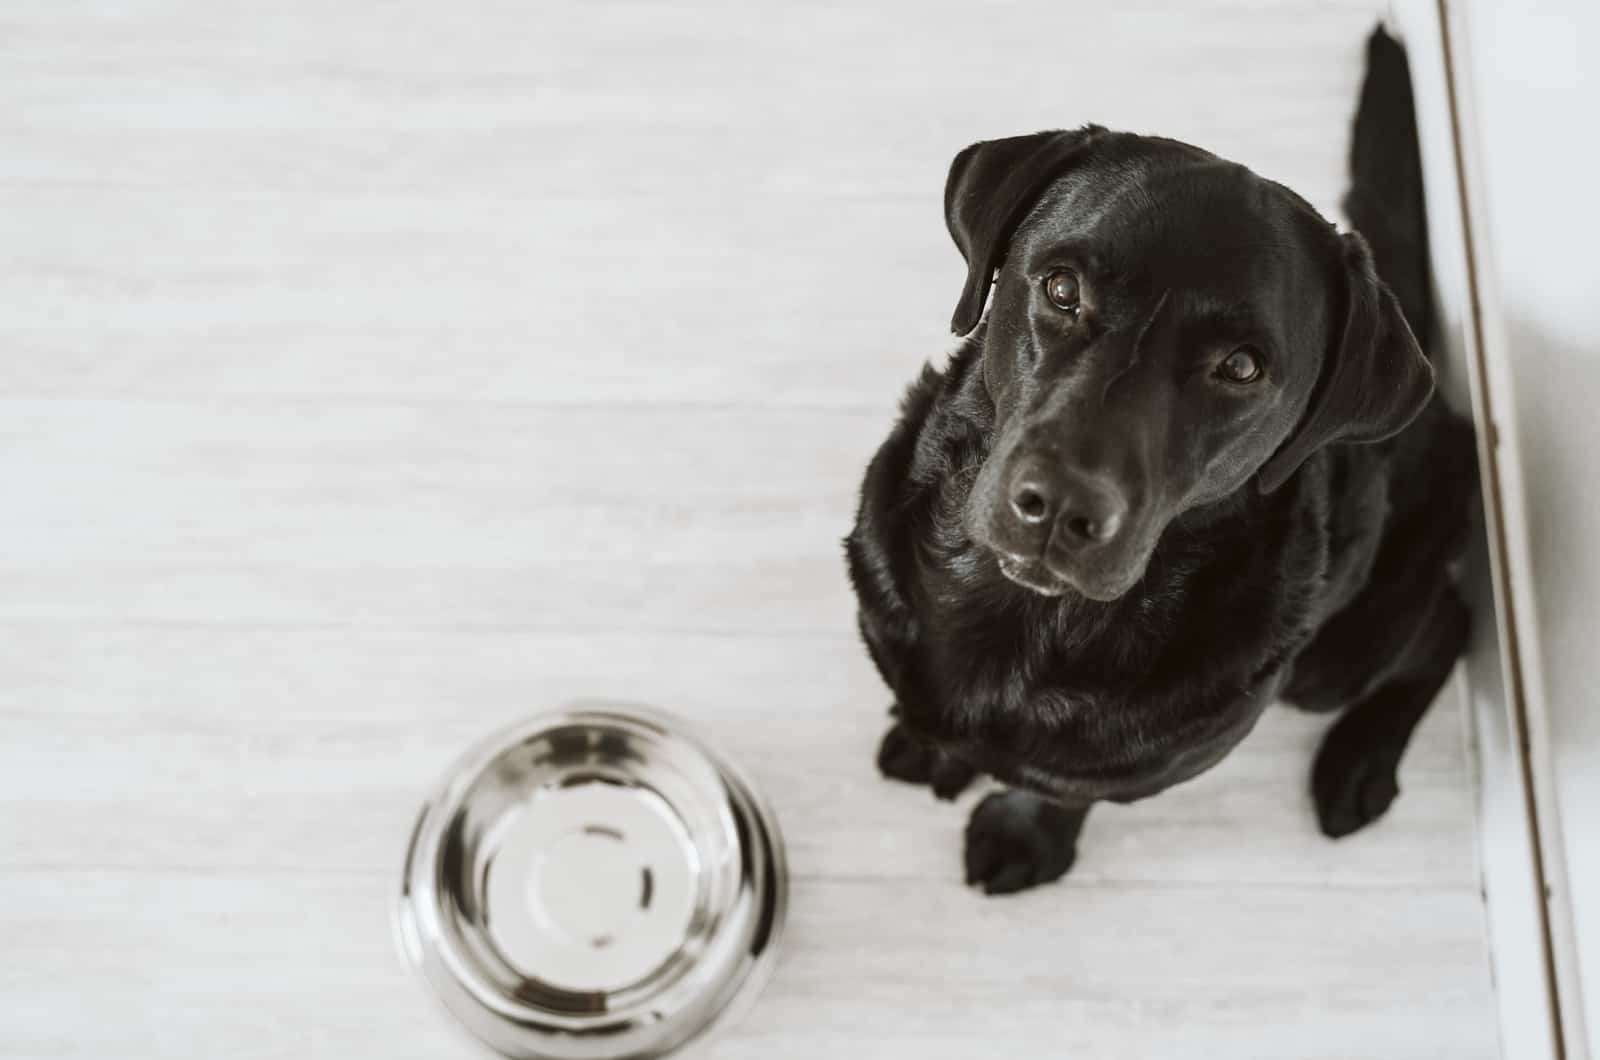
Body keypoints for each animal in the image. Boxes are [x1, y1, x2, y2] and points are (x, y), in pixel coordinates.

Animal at [844, 27, 1478, 896]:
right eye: (1061, 288)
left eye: (1242, 367)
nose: (1060, 506)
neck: (1027, 619)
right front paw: (927, 743)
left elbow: (1062, 791)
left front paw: (1023, 836)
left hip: (1335, 662)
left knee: (1450, 620)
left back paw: (1359, 762)